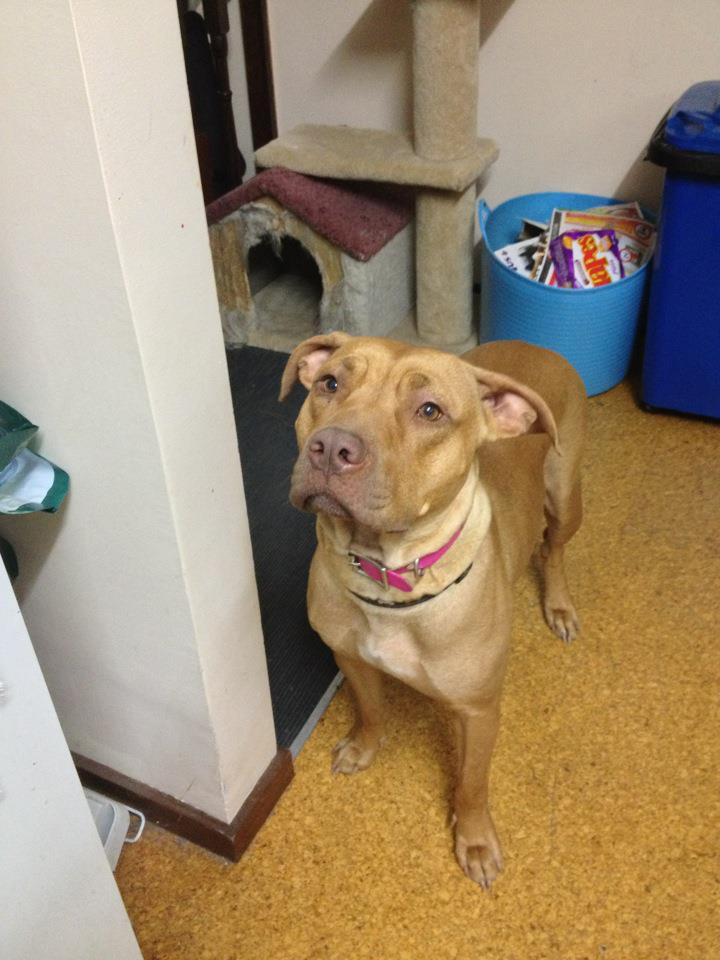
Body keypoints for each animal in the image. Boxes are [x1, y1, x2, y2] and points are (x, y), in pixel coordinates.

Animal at [280, 333, 585, 888]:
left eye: (429, 411)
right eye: (330, 383)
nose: (332, 449)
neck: (388, 576)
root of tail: (536, 345)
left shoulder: (479, 711)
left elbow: (471, 782)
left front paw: (475, 838)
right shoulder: (349, 659)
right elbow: (371, 711)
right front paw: (363, 747)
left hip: (565, 495)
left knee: (553, 549)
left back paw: (559, 605)